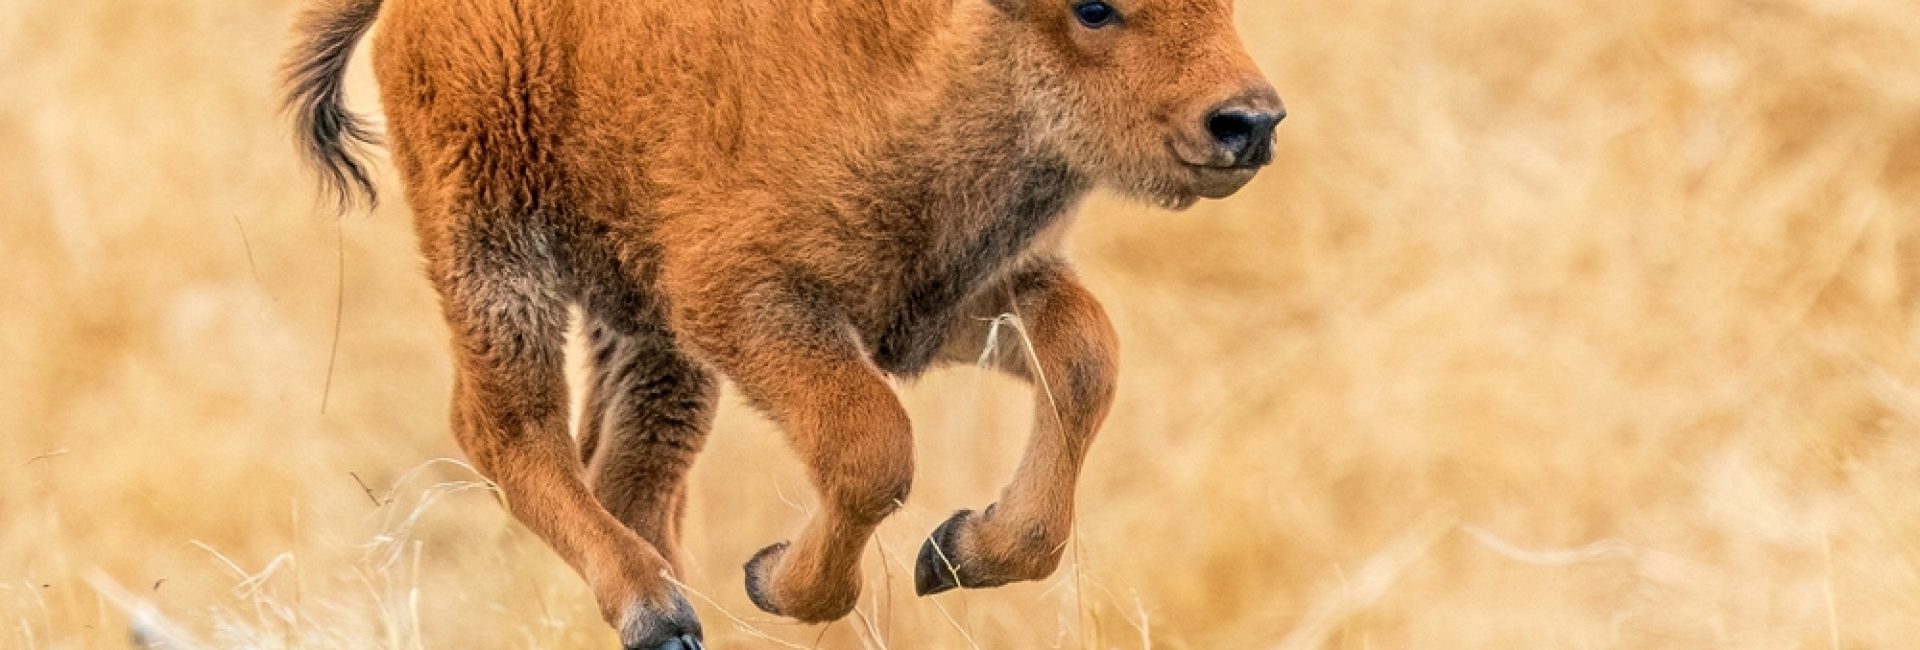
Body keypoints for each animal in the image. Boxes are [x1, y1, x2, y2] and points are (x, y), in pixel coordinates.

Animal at [283, 0, 1281, 647]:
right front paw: (778, 579)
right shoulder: (752, 304)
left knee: (628, 469)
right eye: (1093, 8)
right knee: (507, 428)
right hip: (493, 253)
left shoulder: (946, 302)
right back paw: (658, 614)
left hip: (646, 329)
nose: (1248, 122)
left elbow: (1084, 363)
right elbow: (872, 446)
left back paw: (675, 604)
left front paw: (958, 553)